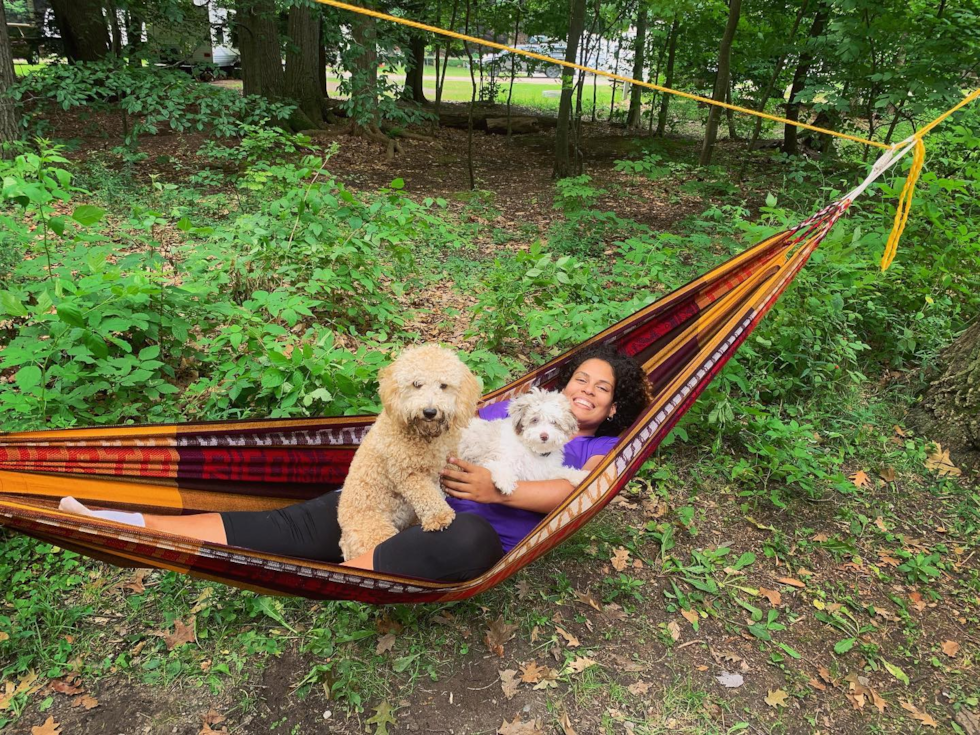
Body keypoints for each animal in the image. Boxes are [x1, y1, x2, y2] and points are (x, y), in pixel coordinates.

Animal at [336, 344, 482, 556]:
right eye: (416, 384)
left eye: (444, 385)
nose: (429, 412)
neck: (426, 436)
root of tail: (345, 543)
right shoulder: (408, 472)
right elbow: (425, 494)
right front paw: (439, 517)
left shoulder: (449, 455)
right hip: (375, 532)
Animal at [454, 388, 584, 498]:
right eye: (535, 419)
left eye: (554, 422)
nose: (544, 436)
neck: (533, 451)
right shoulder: (490, 457)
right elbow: (498, 464)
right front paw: (505, 480)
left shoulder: (543, 472)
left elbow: (560, 471)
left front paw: (579, 476)